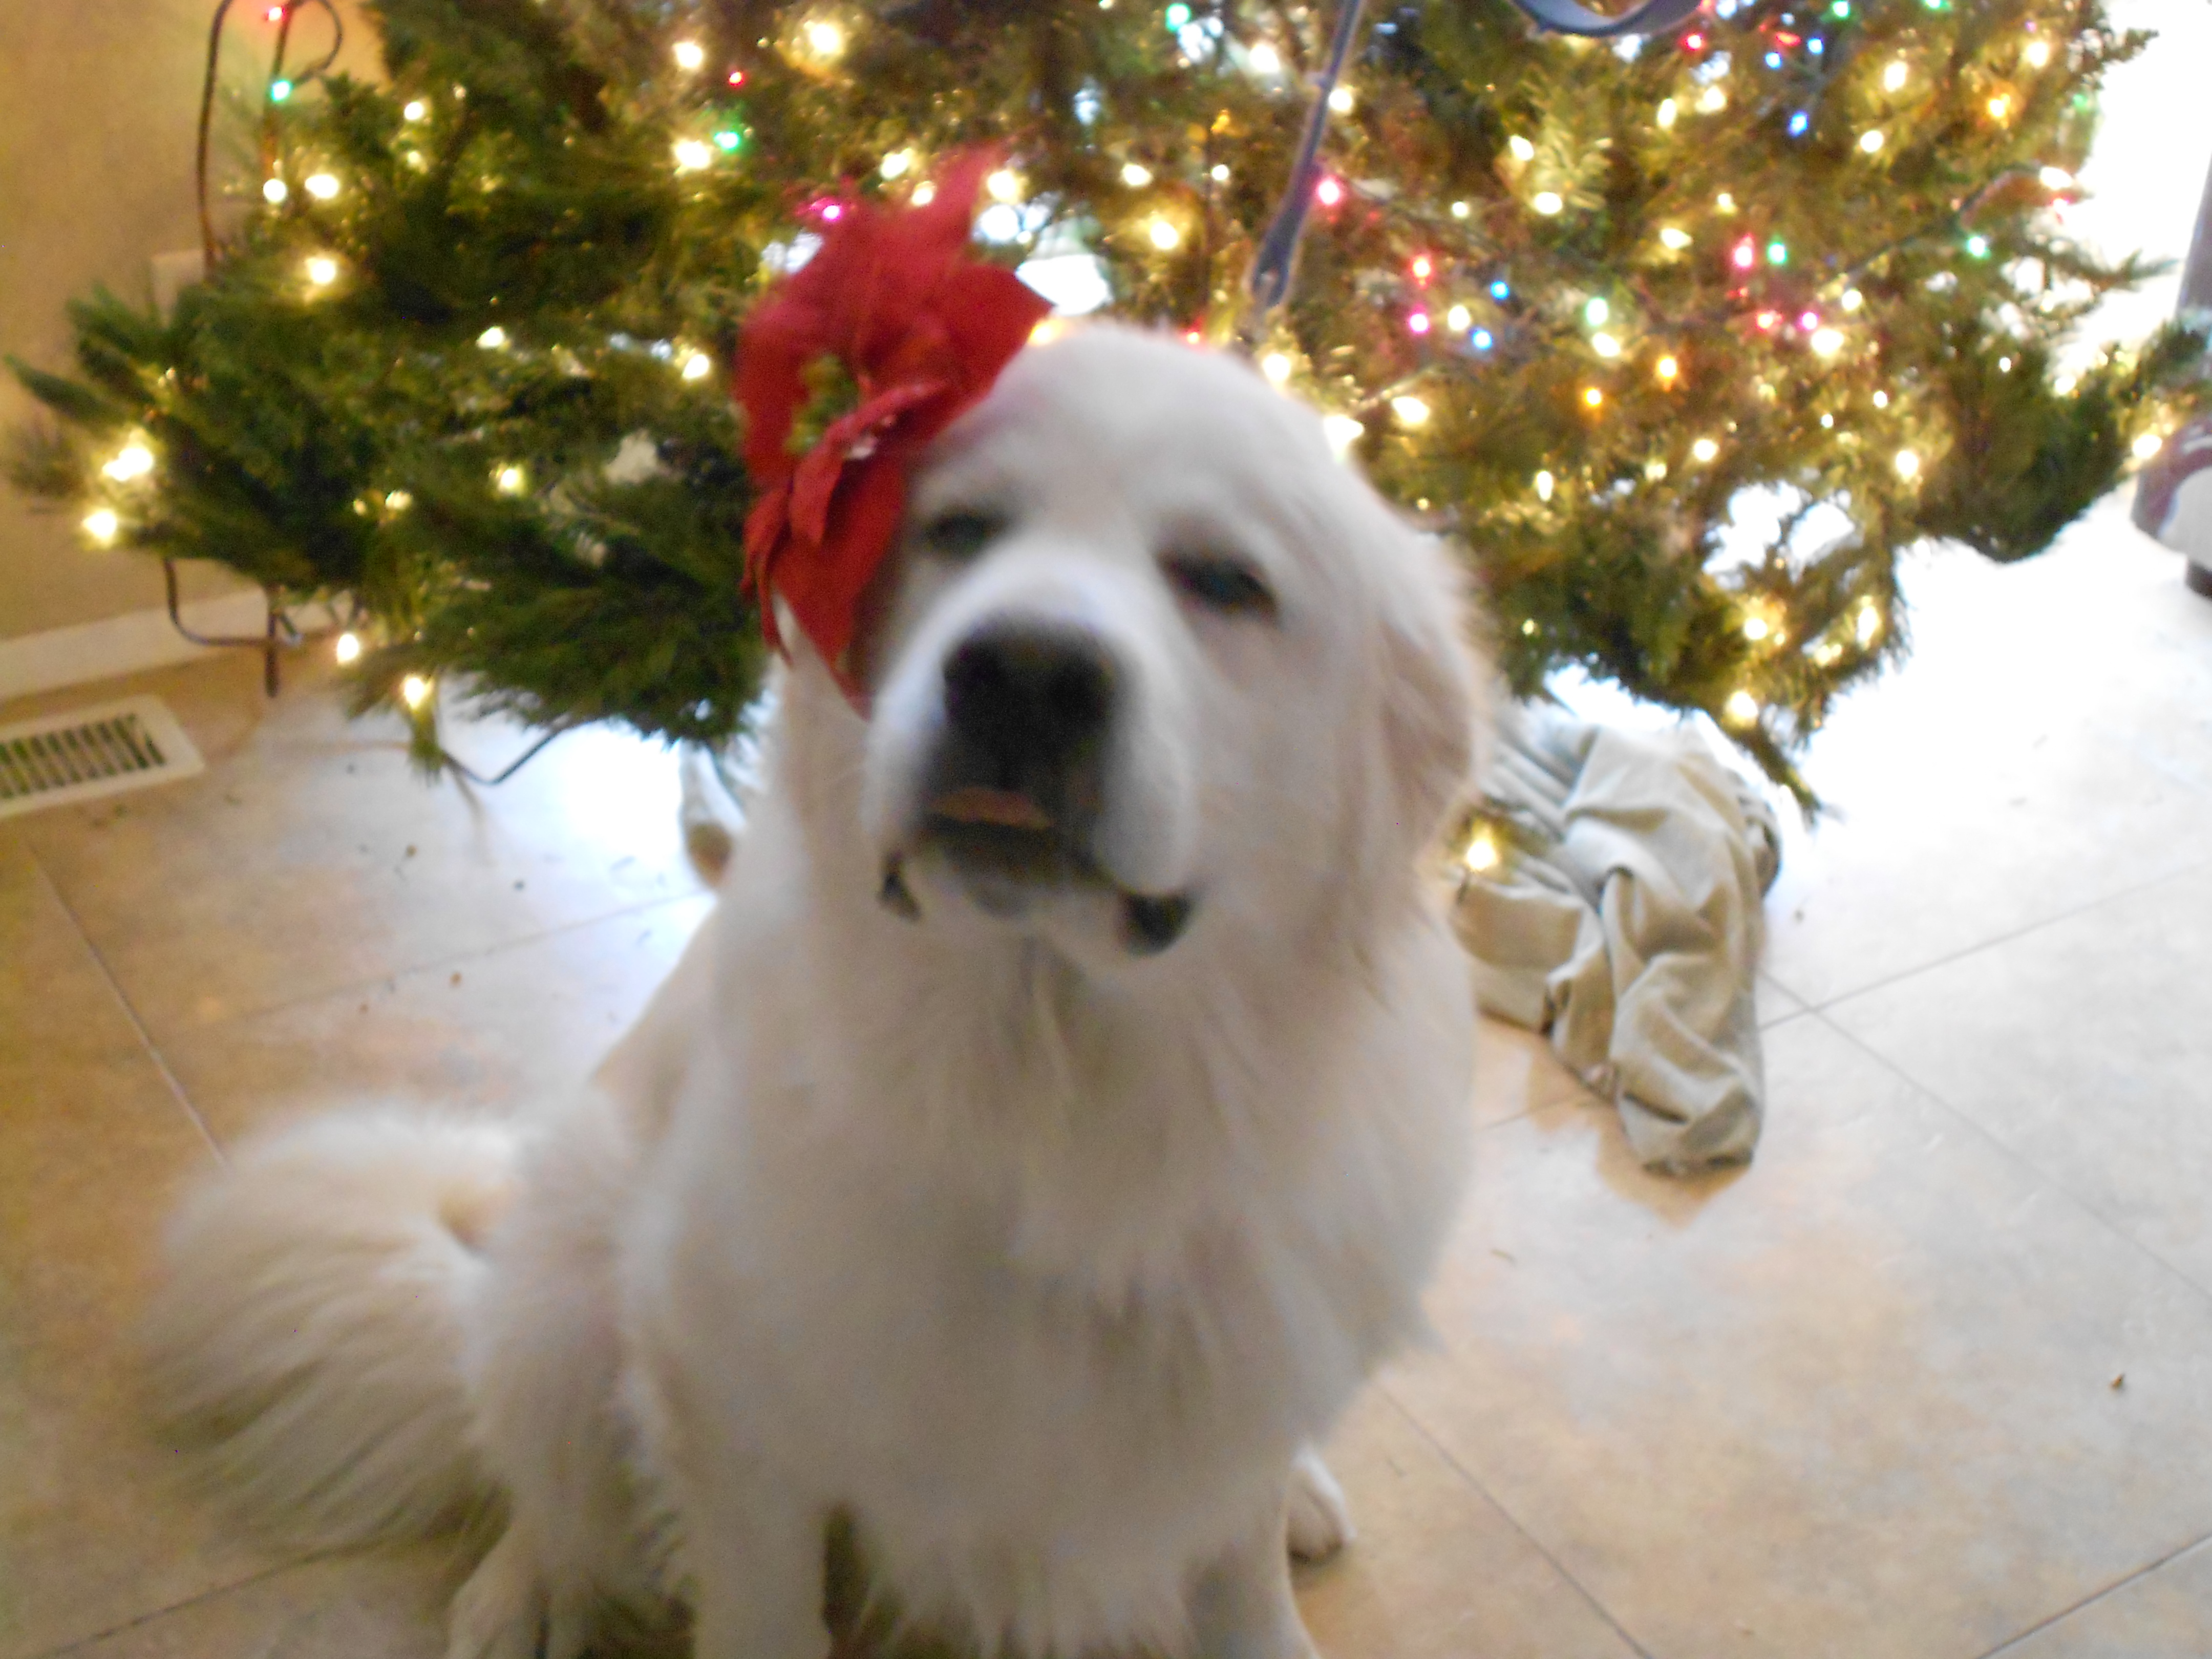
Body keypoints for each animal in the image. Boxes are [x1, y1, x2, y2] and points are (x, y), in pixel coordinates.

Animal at [143, 323, 1485, 1659]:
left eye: (1226, 582)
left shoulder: (1234, 1378)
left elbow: (1238, 1573)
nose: (1024, 673)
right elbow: (761, 1609)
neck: (1052, 1107)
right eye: (959, 530)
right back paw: (518, 1594)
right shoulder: (732, 1400)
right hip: (572, 1287)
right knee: (540, 1474)